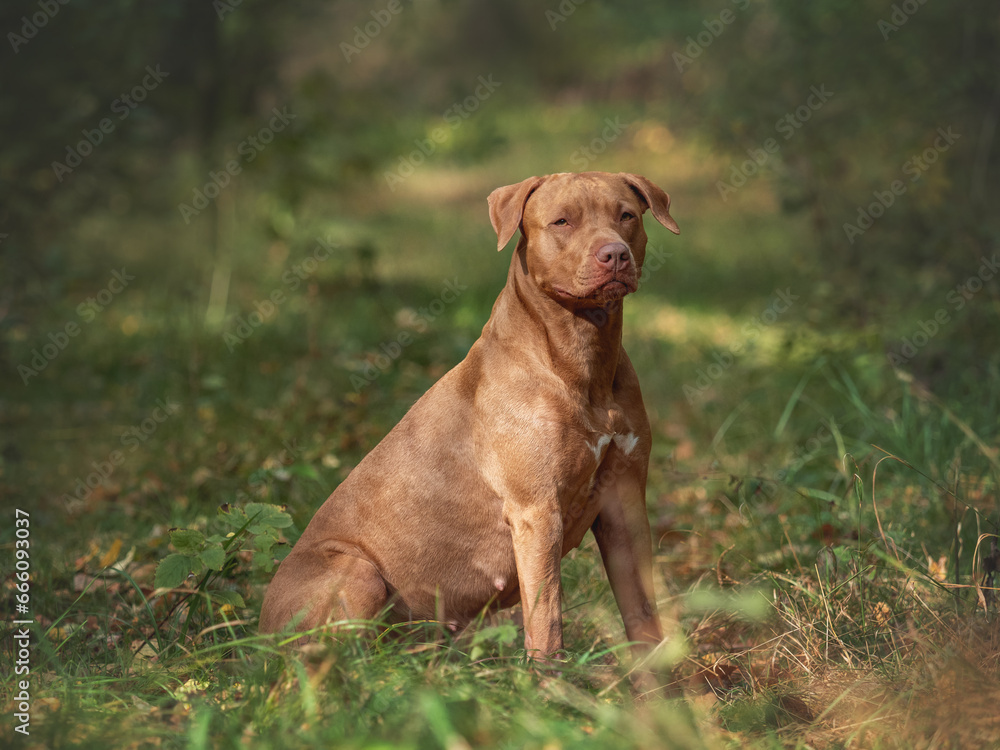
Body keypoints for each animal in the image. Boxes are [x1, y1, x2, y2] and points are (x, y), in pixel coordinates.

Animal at [260, 170, 680, 664]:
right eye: (562, 221)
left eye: (626, 215)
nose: (614, 253)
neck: (583, 357)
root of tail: (256, 633)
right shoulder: (537, 511)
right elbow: (547, 622)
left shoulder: (624, 502)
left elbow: (643, 612)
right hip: (357, 572)